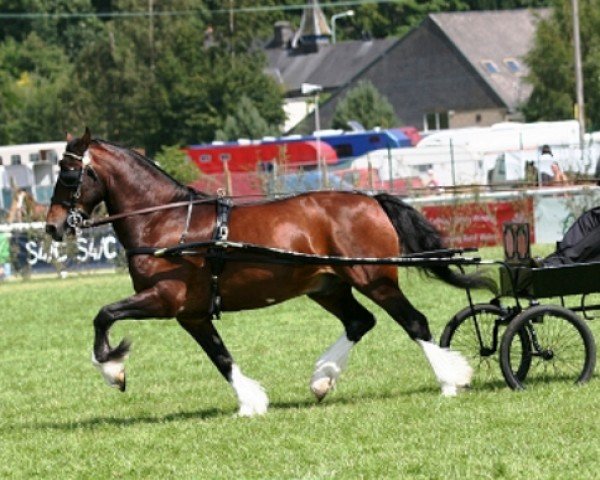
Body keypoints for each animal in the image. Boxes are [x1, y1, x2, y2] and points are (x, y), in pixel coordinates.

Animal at [47, 128, 494, 416]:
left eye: (68, 174)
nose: (52, 226)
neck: (168, 222)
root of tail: (370, 200)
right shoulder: (192, 314)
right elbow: (220, 356)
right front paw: (251, 402)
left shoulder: (164, 300)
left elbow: (104, 315)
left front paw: (114, 369)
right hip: (328, 286)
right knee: (359, 321)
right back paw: (322, 379)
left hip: (374, 279)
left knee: (414, 322)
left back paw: (450, 381)